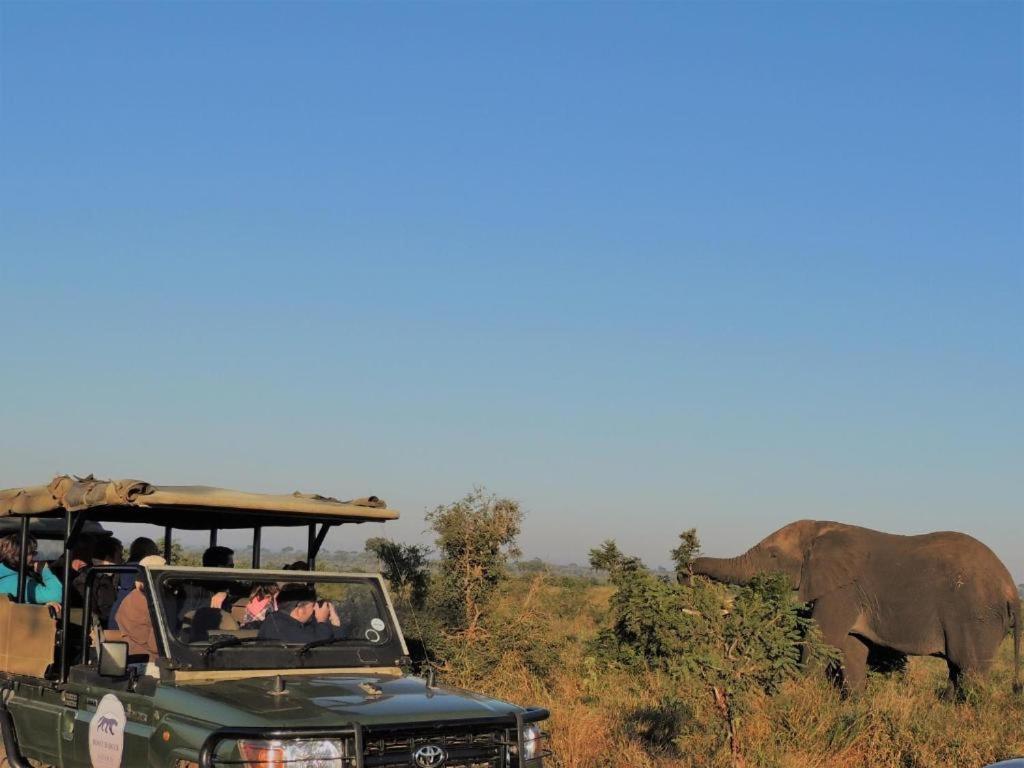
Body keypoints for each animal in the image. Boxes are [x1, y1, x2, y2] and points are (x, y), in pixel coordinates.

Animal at [692, 520, 1019, 696]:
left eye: (773, 556)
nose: (687, 572)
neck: (821, 528)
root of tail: (1011, 588)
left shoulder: (842, 590)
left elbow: (821, 642)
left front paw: (795, 697)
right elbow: (851, 648)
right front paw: (856, 704)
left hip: (976, 616)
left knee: (970, 669)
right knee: (957, 669)